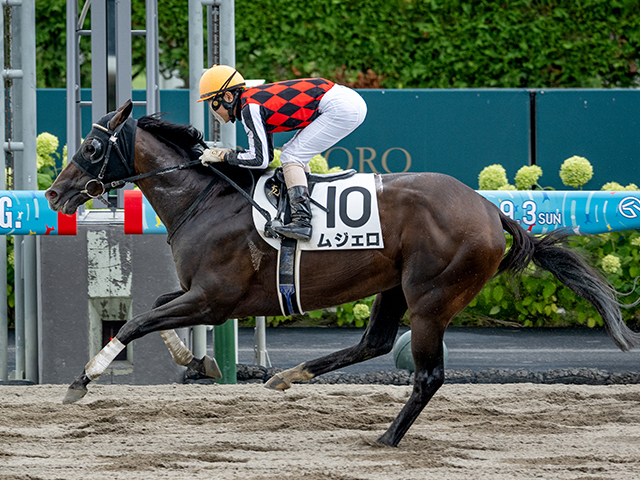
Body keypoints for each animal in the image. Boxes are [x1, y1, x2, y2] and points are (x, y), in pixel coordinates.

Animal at [45, 100, 640, 446]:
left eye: (92, 146)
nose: (53, 193)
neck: (205, 200)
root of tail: (493, 211)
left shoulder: (215, 298)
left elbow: (136, 322)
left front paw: (83, 380)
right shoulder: (202, 294)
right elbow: (152, 313)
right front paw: (199, 362)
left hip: (432, 297)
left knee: (427, 374)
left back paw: (386, 439)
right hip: (394, 287)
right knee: (374, 343)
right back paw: (290, 375)